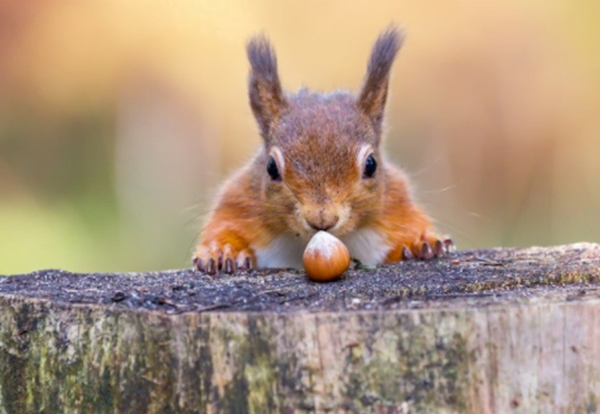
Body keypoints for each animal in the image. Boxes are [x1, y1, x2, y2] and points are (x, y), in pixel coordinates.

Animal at [195, 27, 452, 276]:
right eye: (271, 168)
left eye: (371, 164)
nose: (322, 219)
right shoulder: (238, 202)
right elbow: (225, 227)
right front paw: (222, 251)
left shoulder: (397, 203)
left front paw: (422, 243)